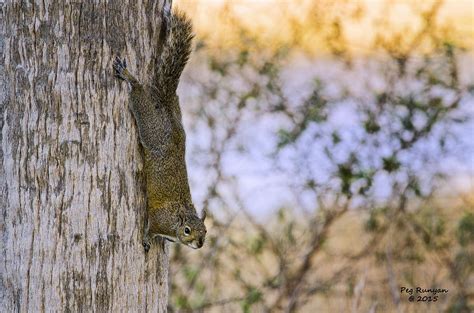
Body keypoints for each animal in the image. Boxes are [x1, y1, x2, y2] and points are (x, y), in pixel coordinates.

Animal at [113, 9, 207, 251]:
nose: (200, 244)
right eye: (187, 230)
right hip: (151, 124)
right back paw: (129, 76)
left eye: (205, 231)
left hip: (175, 109)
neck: (176, 220)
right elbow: (150, 227)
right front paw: (147, 238)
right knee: (138, 93)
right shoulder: (158, 220)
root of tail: (164, 105)